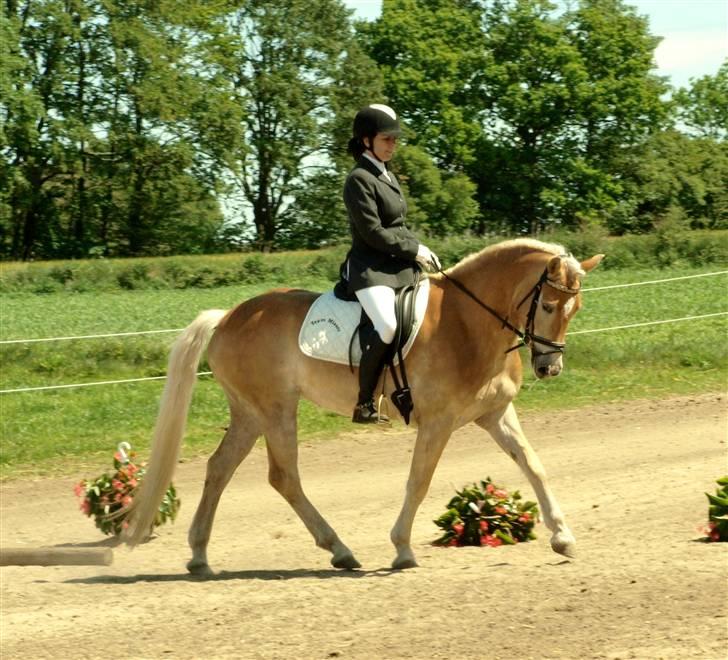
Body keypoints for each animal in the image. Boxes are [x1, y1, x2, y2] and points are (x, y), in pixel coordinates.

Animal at [123, 237, 604, 572]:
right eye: (547, 304)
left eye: (576, 308)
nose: (549, 368)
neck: (469, 323)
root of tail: (227, 317)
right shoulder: (439, 422)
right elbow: (419, 482)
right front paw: (403, 549)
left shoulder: (495, 413)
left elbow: (533, 465)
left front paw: (562, 536)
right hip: (275, 410)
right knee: (284, 477)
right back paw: (340, 550)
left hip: (250, 413)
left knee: (220, 468)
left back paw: (200, 556)